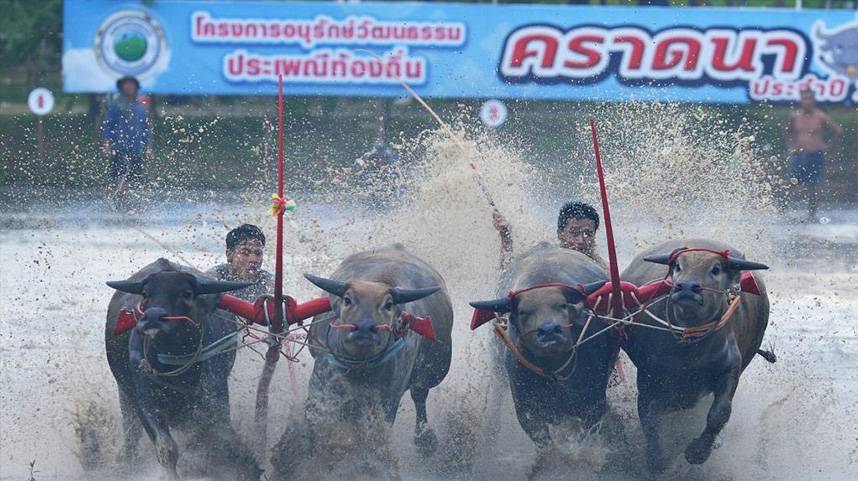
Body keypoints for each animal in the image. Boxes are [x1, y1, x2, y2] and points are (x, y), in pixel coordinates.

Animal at [105, 258, 258, 480]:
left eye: (186, 293)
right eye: (146, 294)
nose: (153, 317)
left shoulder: (215, 395)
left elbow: (221, 437)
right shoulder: (147, 402)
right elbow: (166, 449)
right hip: (125, 393)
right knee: (131, 427)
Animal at [270, 244, 452, 480]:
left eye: (388, 304)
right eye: (348, 300)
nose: (364, 329)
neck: (360, 367)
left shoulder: (389, 396)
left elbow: (374, 437)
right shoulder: (322, 385)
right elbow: (315, 422)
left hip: (434, 372)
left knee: (420, 395)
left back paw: (426, 441)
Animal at [468, 242, 616, 474]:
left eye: (562, 305)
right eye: (523, 312)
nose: (549, 331)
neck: (554, 370)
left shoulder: (592, 400)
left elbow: (584, 439)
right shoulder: (526, 405)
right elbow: (544, 442)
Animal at [620, 238, 768, 470]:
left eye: (715, 269)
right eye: (678, 266)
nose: (687, 287)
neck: (690, 347)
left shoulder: (730, 370)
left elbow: (720, 413)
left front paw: (698, 452)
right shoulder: (648, 377)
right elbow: (649, 416)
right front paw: (656, 458)